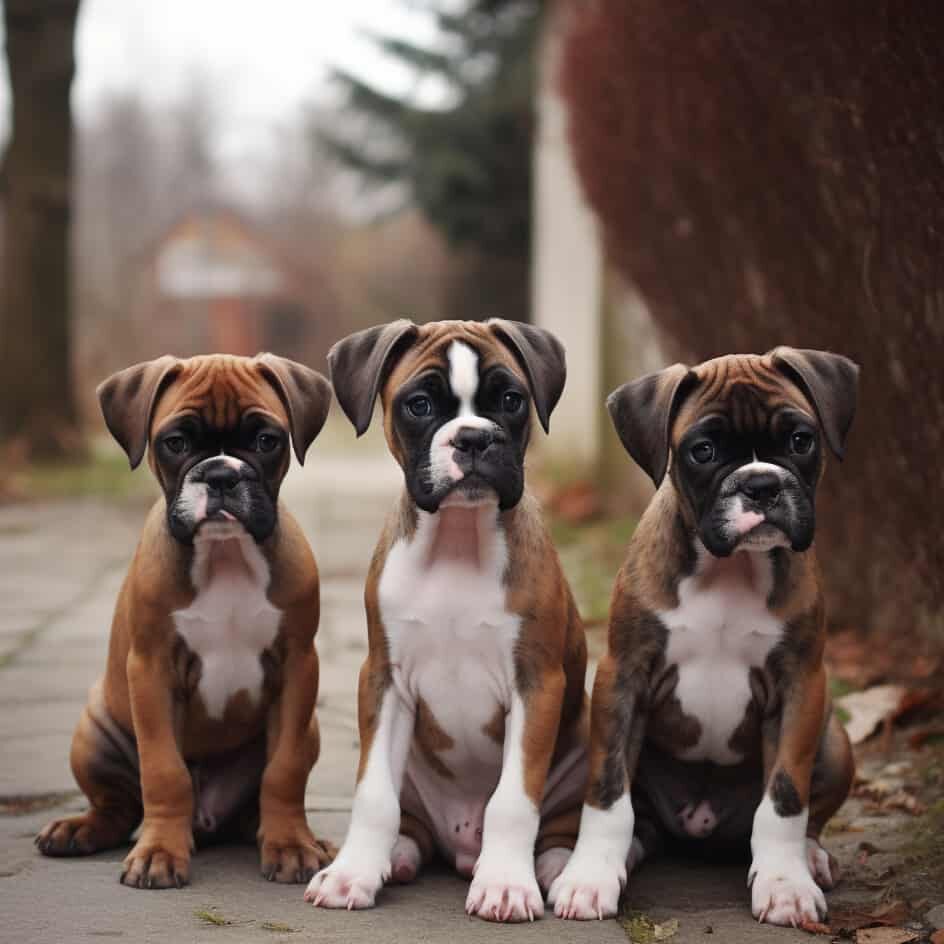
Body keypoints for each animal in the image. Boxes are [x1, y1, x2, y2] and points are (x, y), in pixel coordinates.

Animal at [37, 352, 340, 884]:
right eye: (175, 443)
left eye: (267, 440)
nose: (220, 474)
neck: (225, 555)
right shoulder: (152, 669)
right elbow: (164, 772)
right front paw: (159, 852)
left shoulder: (298, 667)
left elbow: (283, 772)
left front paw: (290, 846)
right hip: (94, 729)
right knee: (116, 807)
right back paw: (78, 829)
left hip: (311, 730)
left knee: (260, 799)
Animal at [306, 322, 592, 920]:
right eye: (419, 404)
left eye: (511, 401)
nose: (474, 439)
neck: (458, 540)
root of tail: (460, 844)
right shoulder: (385, 681)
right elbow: (373, 797)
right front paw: (351, 874)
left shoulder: (537, 685)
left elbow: (514, 800)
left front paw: (505, 884)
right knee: (408, 821)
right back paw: (396, 856)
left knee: (559, 828)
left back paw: (552, 869)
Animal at [548, 348, 860, 928]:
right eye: (704, 450)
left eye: (800, 440)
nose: (761, 484)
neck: (729, 569)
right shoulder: (623, 678)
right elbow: (607, 792)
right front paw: (589, 878)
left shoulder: (801, 687)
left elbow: (786, 796)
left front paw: (785, 885)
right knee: (637, 816)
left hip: (834, 737)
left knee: (804, 814)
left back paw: (809, 856)